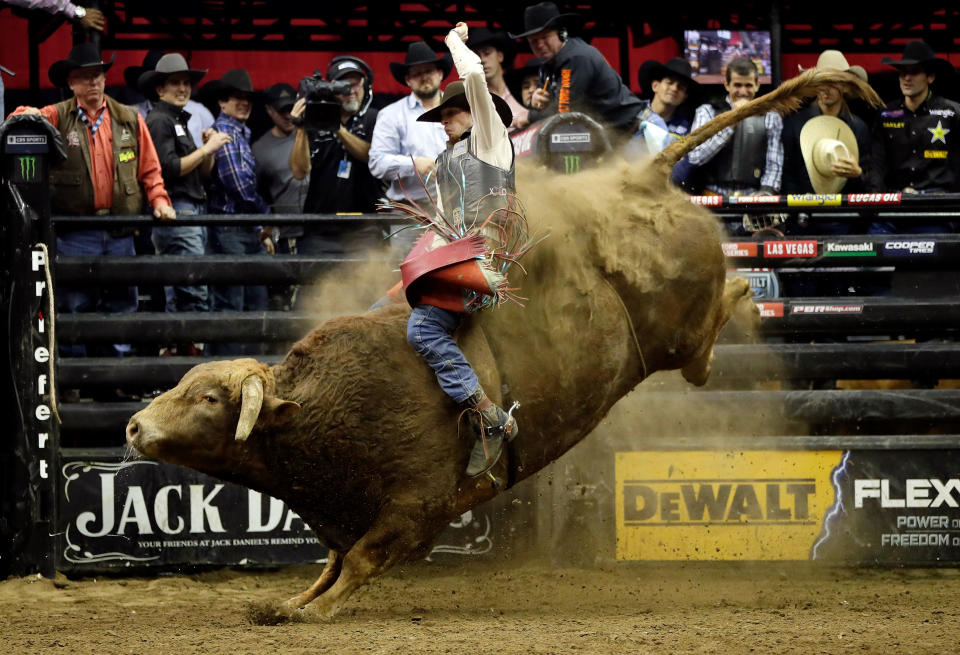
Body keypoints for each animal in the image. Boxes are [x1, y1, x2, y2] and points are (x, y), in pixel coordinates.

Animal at [125, 72, 876, 620]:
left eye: (210, 397)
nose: (133, 425)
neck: (313, 414)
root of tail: (643, 175)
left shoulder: (416, 508)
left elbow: (362, 561)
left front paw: (317, 611)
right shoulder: (343, 515)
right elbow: (332, 563)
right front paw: (290, 602)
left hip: (681, 331)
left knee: (715, 321)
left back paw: (746, 296)